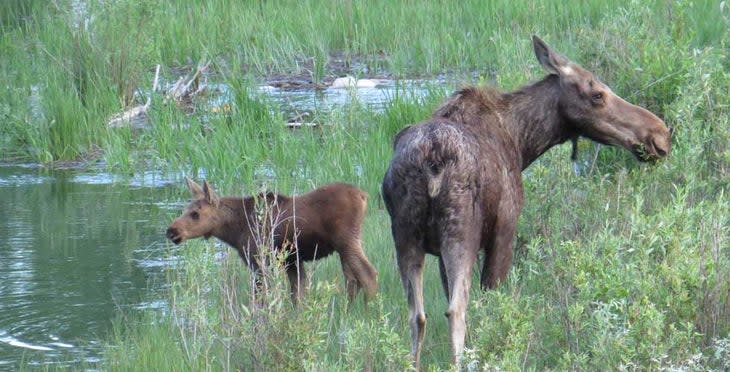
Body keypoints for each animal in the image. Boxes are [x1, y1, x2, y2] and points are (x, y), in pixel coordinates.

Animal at [168, 179, 378, 306]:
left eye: (195, 214)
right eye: (185, 209)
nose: (171, 231)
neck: (233, 231)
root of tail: (364, 196)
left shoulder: (258, 259)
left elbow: (261, 299)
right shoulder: (292, 260)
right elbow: (298, 295)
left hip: (346, 241)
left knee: (367, 274)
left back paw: (370, 312)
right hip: (348, 244)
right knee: (353, 279)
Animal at [382, 35, 672, 370]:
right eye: (597, 94)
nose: (659, 135)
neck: (522, 143)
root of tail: (431, 161)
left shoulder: (440, 253)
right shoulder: (504, 233)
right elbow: (491, 304)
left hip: (406, 237)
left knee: (417, 316)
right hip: (460, 234)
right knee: (455, 311)